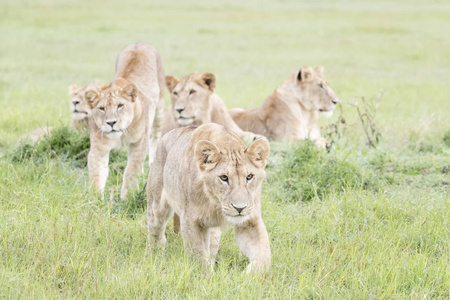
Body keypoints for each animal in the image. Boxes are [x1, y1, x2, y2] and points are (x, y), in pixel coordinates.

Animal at [148, 123, 270, 274]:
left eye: (249, 177)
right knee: (156, 231)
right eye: (224, 177)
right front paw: (207, 277)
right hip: (156, 205)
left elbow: (263, 253)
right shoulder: (190, 220)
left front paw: (251, 276)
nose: (239, 208)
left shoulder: (250, 220)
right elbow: (199, 256)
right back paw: (154, 255)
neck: (215, 203)